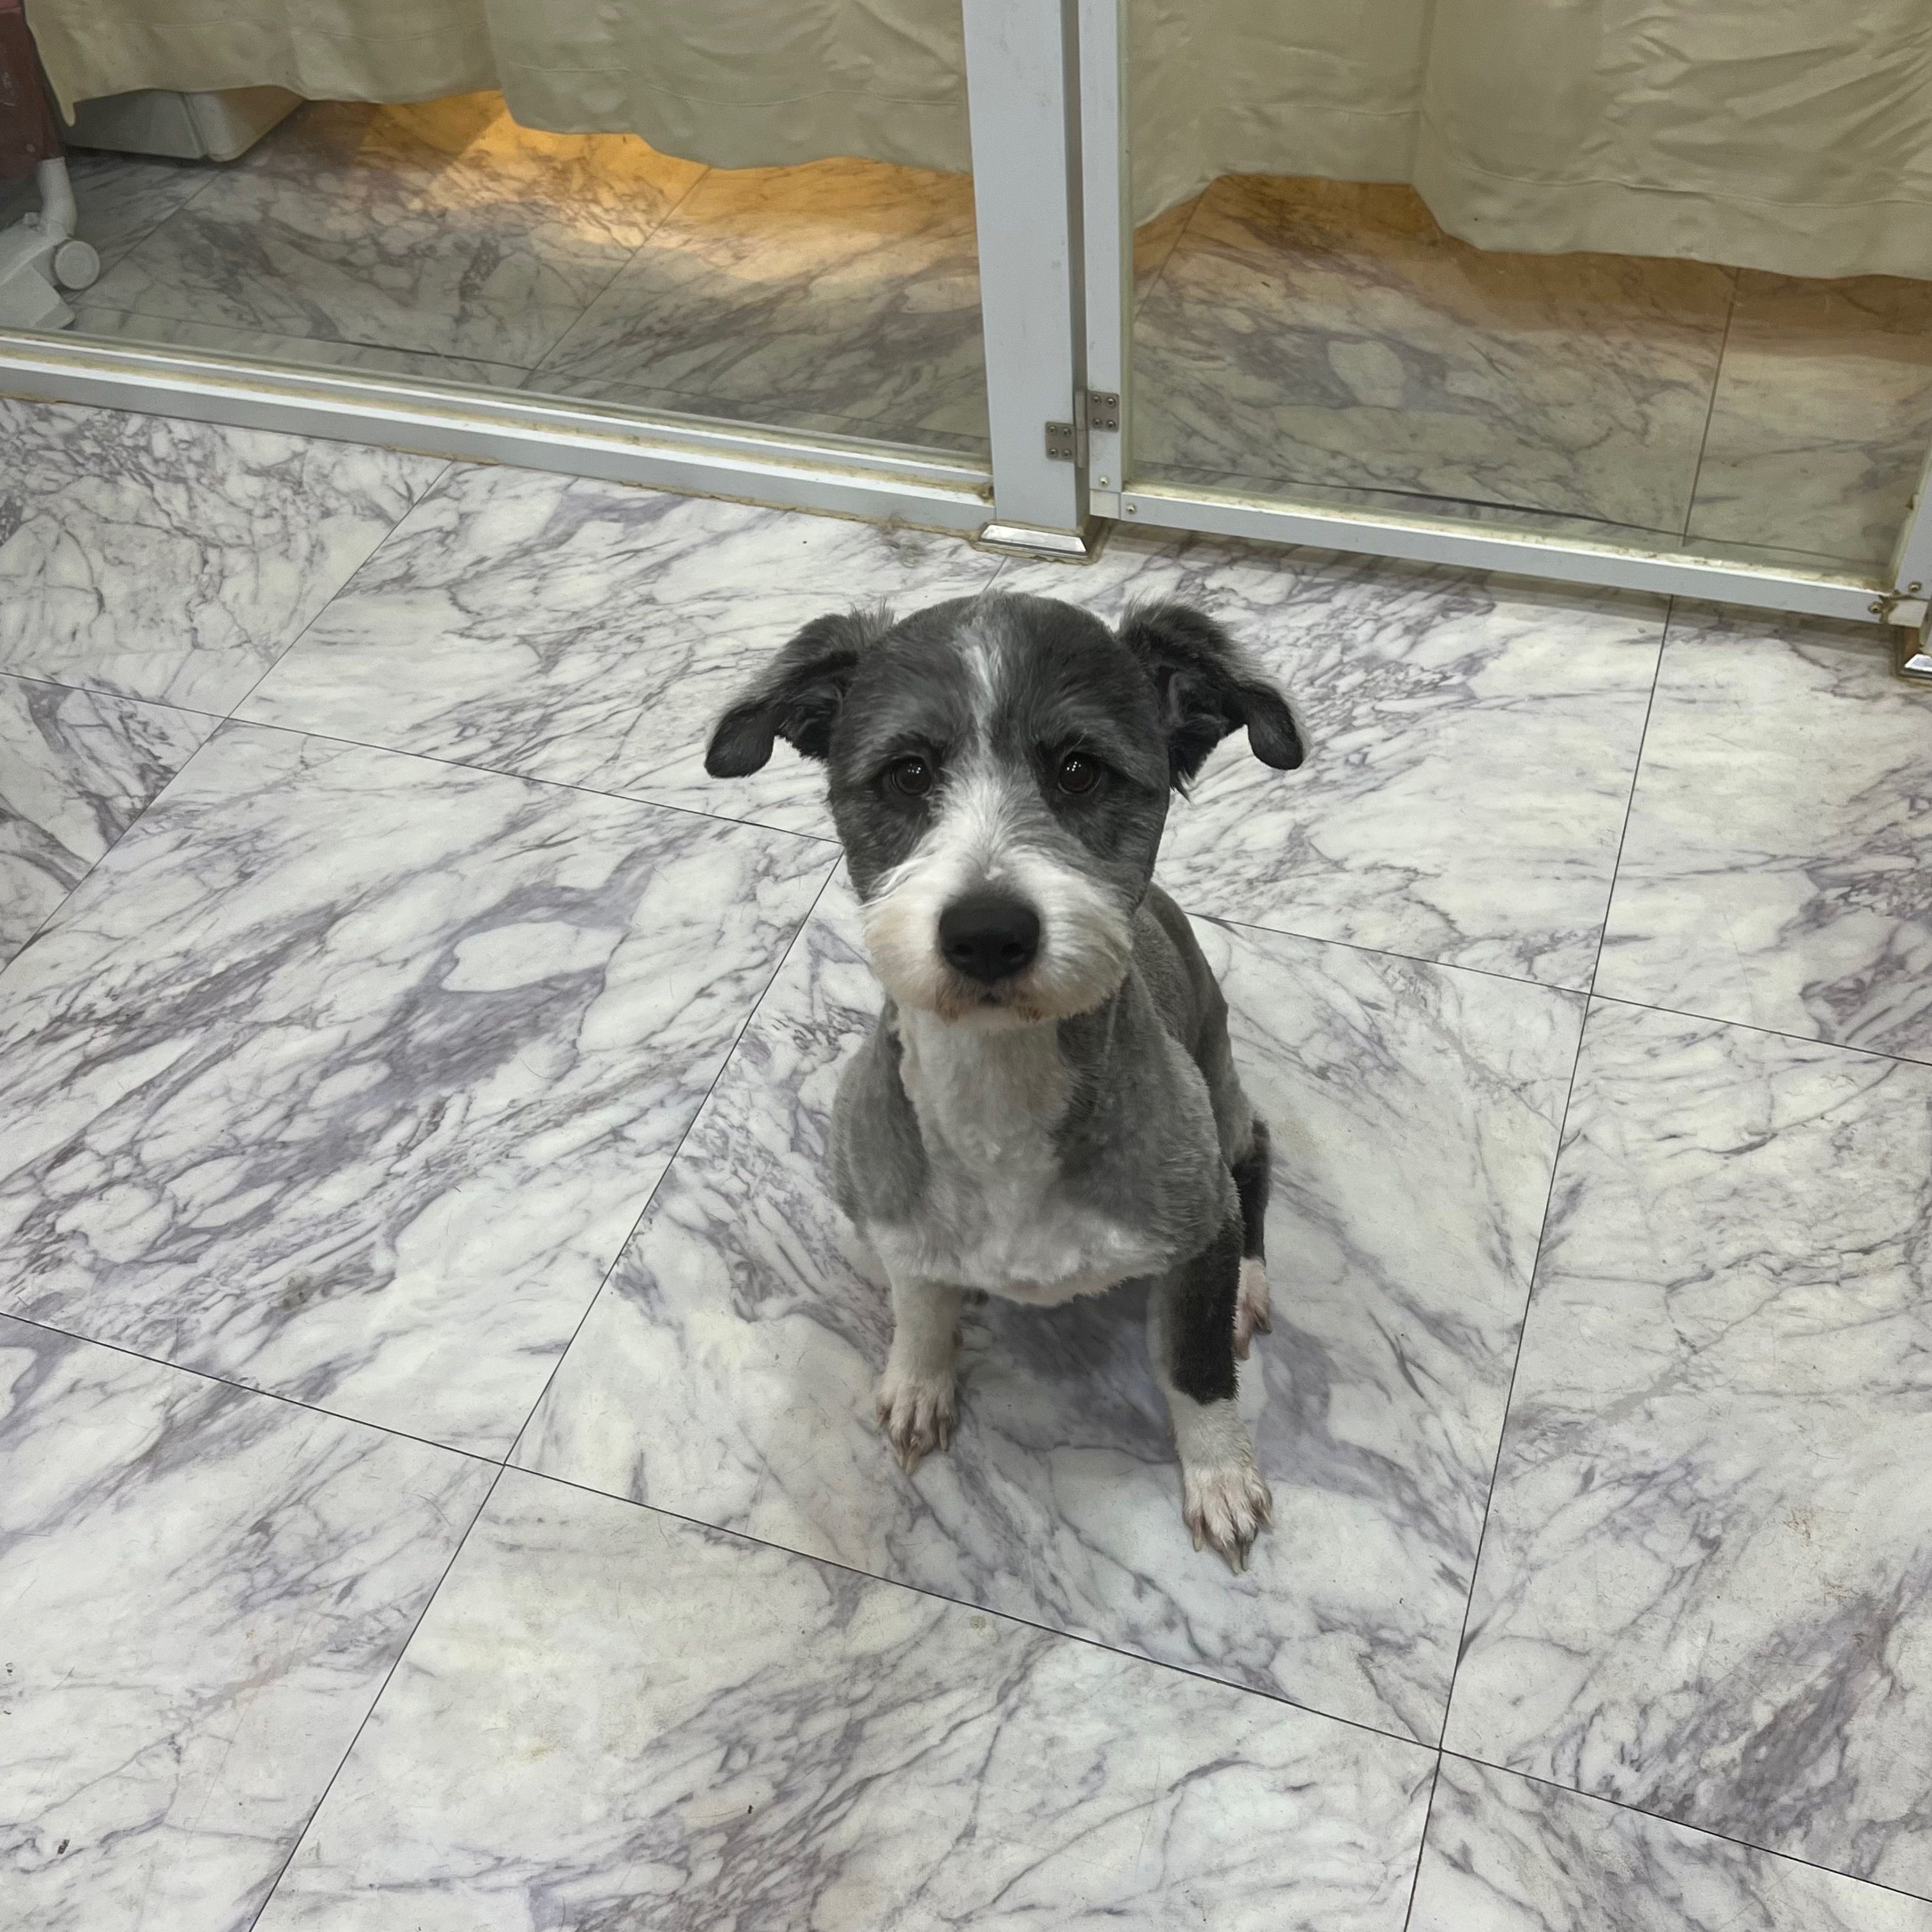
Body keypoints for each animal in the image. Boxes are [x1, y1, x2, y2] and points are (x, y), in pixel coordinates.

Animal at [705, 591, 1304, 1568]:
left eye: (1079, 771)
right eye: (908, 774)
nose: (987, 932)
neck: (1000, 1097)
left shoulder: (1189, 1221)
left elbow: (1195, 1366)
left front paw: (1218, 1474)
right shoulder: (890, 1204)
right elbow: (917, 1299)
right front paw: (921, 1378)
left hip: (1216, 1088)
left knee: (1250, 1157)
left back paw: (1248, 1283)